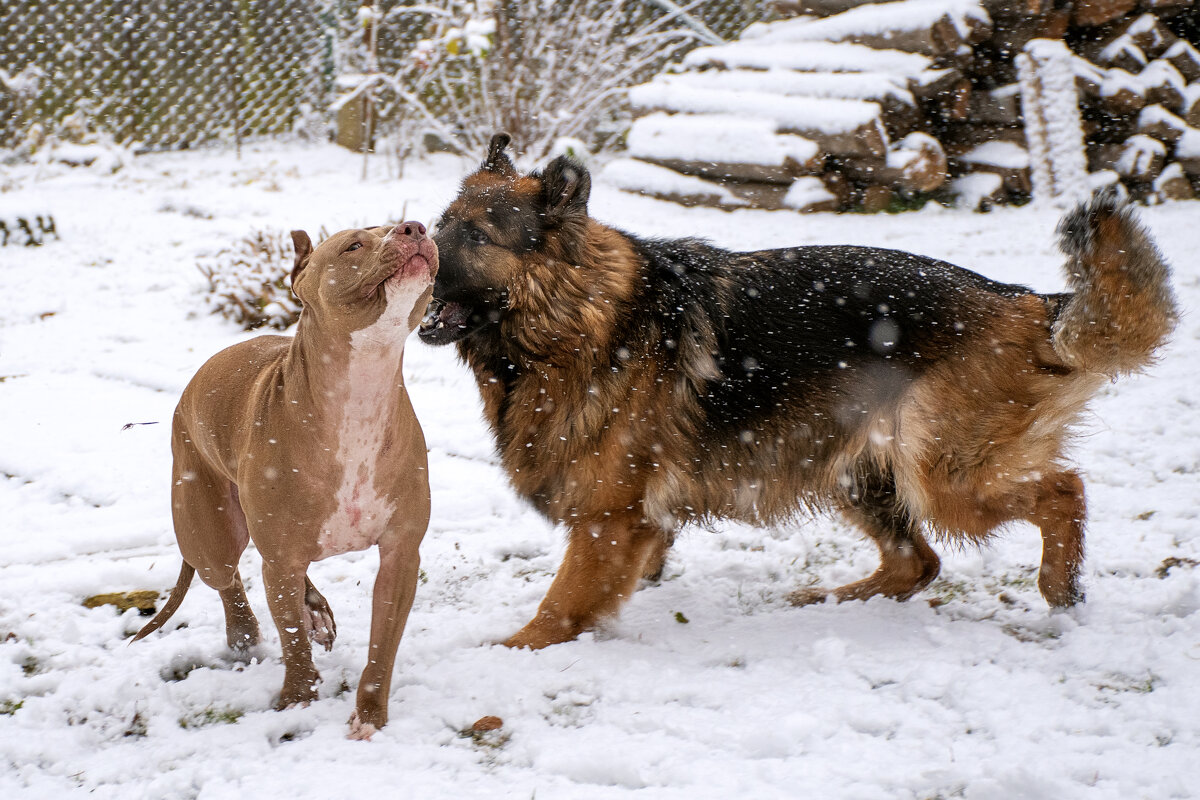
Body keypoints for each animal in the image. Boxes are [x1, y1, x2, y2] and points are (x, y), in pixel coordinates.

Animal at [136, 221, 436, 743]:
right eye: (354, 244)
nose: (415, 227)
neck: (362, 388)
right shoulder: (279, 557)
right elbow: (292, 637)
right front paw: (297, 699)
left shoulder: (401, 553)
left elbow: (383, 643)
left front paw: (369, 716)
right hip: (210, 535)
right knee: (230, 578)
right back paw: (246, 634)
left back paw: (314, 607)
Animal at [422, 134, 1180, 647]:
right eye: (438, 226)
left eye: (476, 237)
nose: (410, 251)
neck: (577, 318)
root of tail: (1021, 302)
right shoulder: (631, 520)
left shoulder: (610, 518)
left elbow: (562, 602)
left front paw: (511, 650)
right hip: (861, 469)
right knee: (917, 562)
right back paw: (832, 601)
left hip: (941, 475)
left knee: (1062, 490)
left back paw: (1060, 586)